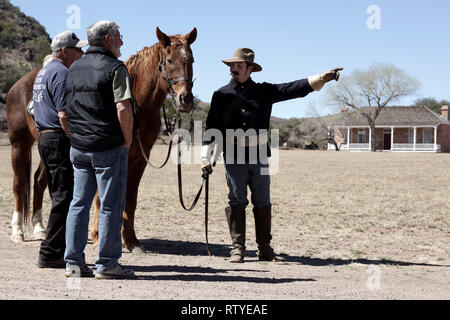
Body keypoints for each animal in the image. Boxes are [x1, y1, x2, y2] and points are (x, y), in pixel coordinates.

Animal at [6, 27, 197, 251]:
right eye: (169, 60)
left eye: (191, 59)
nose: (185, 99)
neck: (134, 105)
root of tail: (19, 84)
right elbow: (100, 197)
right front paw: (98, 236)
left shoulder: (139, 158)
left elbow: (130, 198)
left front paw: (131, 241)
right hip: (19, 144)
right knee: (19, 185)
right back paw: (18, 232)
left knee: (39, 181)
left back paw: (40, 229)